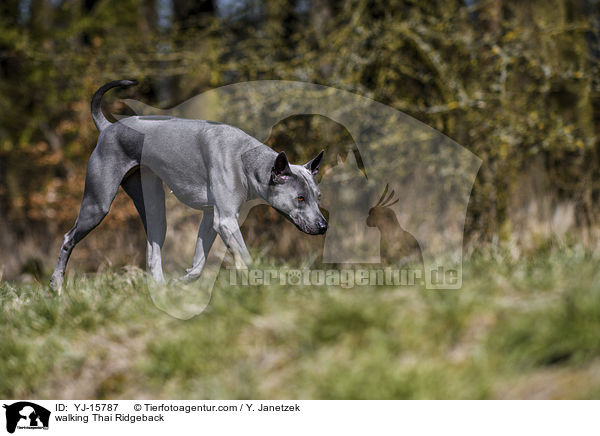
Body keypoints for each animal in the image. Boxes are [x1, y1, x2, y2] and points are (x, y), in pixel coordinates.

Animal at [49, 81, 326, 292]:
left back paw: (161, 290)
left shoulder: (212, 217)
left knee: (153, 252)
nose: (324, 226)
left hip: (154, 209)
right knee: (68, 238)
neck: (247, 160)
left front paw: (186, 278)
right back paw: (56, 285)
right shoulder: (226, 220)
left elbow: (200, 261)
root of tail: (108, 128)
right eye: (300, 198)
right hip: (98, 204)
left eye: (318, 197)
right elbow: (245, 255)